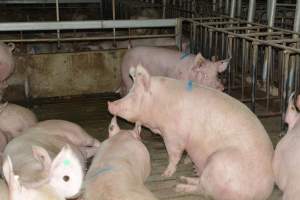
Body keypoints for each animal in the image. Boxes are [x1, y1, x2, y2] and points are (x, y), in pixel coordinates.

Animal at [107, 64, 274, 200]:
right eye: (130, 91)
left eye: (133, 95)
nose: (109, 103)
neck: (158, 105)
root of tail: (264, 192)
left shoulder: (173, 134)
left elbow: (174, 154)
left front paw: (165, 173)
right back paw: (186, 177)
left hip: (218, 164)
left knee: (204, 190)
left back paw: (179, 186)